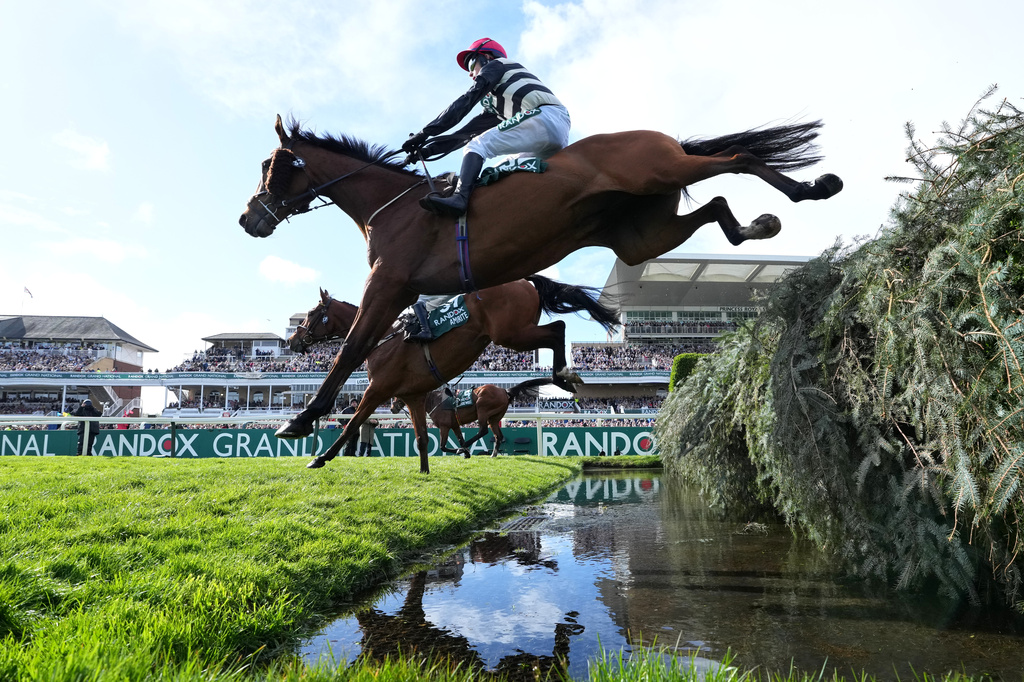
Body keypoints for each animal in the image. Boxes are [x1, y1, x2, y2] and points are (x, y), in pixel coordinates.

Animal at [241, 115, 842, 445]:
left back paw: (812, 188)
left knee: (736, 156)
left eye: (273, 165)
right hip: (642, 235)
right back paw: (757, 224)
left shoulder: (388, 286)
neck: (394, 206)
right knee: (716, 202)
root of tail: (661, 138)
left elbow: (350, 349)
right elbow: (360, 351)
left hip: (662, 171)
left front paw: (303, 418)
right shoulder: (402, 290)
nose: (250, 217)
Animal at [391, 379, 551, 459]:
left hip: (482, 409)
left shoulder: (444, 426)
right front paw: (466, 453)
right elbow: (459, 438)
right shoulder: (454, 425)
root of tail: (504, 390)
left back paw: (465, 447)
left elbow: (443, 446)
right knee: (498, 436)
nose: (392, 408)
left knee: (483, 431)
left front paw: (462, 450)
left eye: (398, 393)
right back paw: (492, 454)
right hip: (494, 418)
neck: (435, 400)